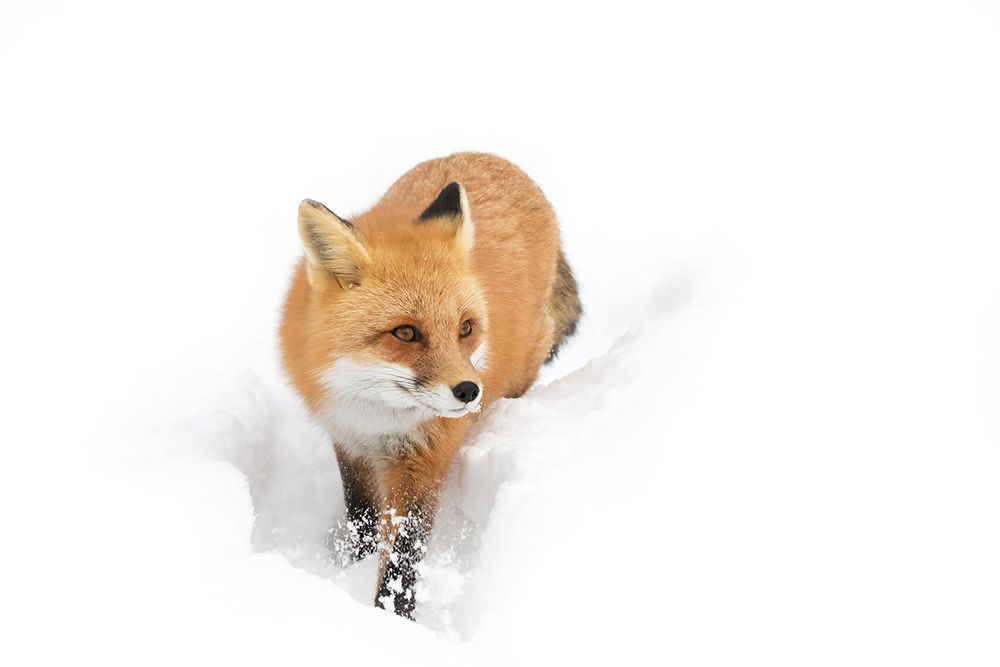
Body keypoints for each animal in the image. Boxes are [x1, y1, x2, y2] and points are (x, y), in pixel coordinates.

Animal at [279, 152, 581, 619]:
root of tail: (494, 158)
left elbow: (403, 557)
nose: (469, 391)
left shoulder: (424, 460)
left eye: (466, 329)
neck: (376, 413)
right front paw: (354, 568)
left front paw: (391, 618)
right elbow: (361, 518)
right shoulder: (348, 439)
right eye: (405, 333)